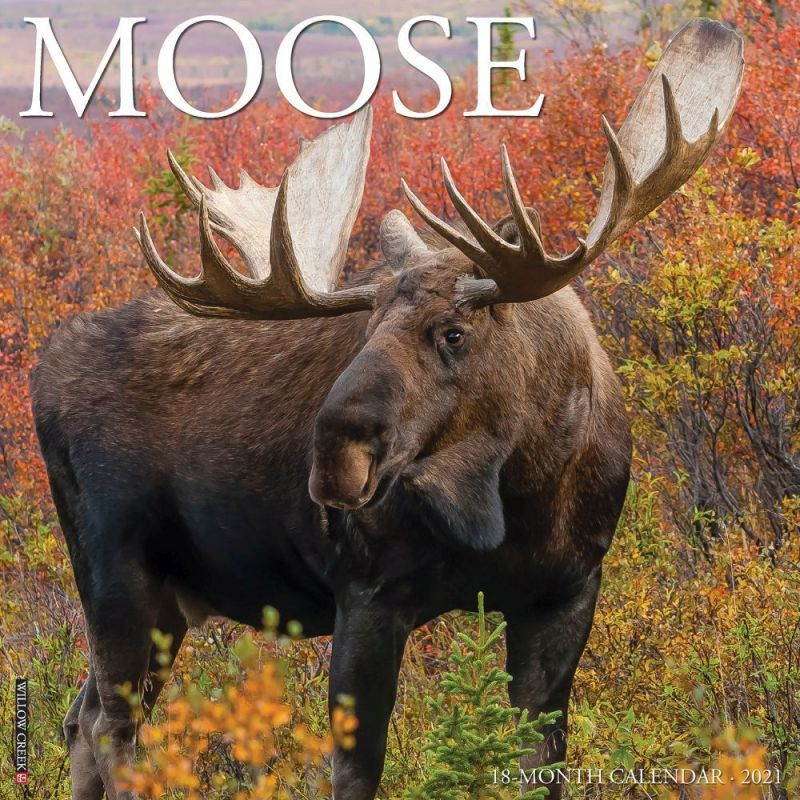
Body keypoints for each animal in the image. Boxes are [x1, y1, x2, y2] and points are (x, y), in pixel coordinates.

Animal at [30, 19, 743, 800]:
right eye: (365, 327)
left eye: (453, 332)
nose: (333, 460)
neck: (518, 494)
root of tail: (40, 371)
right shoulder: (368, 595)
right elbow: (355, 768)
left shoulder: (568, 589)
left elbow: (539, 760)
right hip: (115, 573)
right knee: (112, 730)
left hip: (169, 598)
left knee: (80, 717)